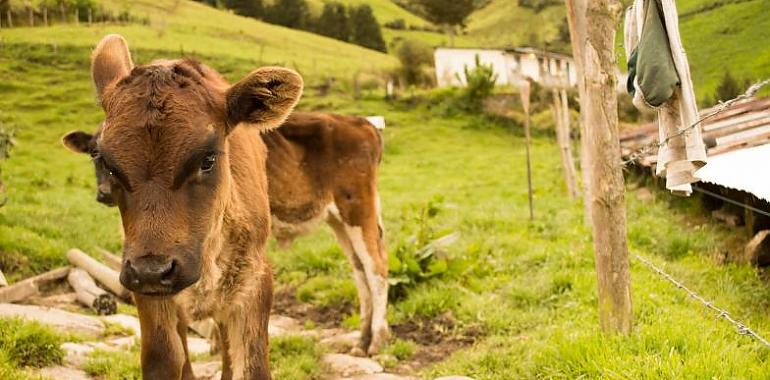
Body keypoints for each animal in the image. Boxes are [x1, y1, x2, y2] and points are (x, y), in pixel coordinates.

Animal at [65, 111, 390, 354]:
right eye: (95, 154)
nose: (104, 193)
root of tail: (362, 122)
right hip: (339, 220)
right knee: (360, 271)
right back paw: (361, 341)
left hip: (357, 209)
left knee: (376, 269)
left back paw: (377, 341)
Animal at [71, 34, 300, 378]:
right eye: (107, 164)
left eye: (208, 159)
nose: (153, 270)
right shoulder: (146, 288)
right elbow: (165, 358)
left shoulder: (255, 284)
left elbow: (250, 364)